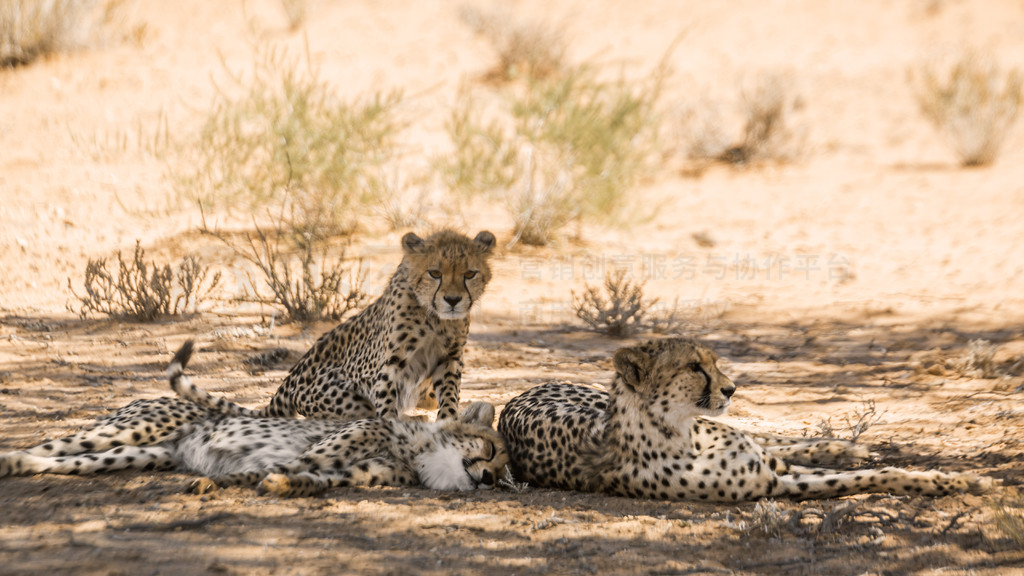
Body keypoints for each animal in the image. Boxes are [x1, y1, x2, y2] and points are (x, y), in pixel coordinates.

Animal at [0, 338, 512, 496]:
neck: (422, 454)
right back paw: (9, 458)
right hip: (130, 428)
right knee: (52, 443)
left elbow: (305, 479)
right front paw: (224, 481)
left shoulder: (351, 474)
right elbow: (288, 462)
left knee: (60, 461)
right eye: (490, 448)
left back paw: (23, 466)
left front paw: (277, 486)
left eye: (507, 477)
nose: (488, 479)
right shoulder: (334, 441)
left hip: (137, 454)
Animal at [495, 336, 991, 498]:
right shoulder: (774, 484)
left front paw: (955, 477)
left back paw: (847, 445)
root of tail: (519, 394)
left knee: (774, 442)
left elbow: (879, 470)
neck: (679, 433)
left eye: (714, 362)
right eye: (694, 367)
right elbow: (870, 478)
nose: (732, 388)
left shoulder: (767, 469)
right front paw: (956, 482)